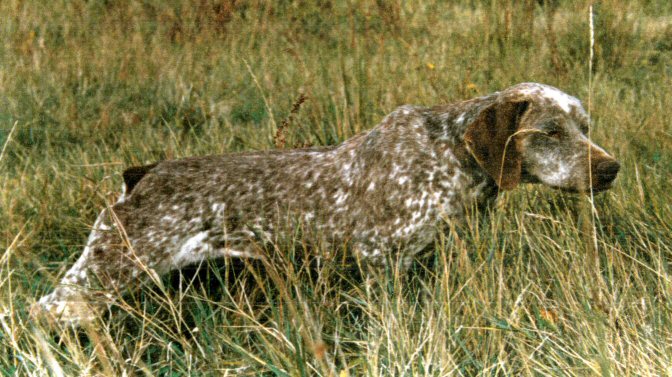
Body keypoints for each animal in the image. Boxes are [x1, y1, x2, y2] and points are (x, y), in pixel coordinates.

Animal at [31, 83, 620, 324]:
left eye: (585, 127)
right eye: (551, 131)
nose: (611, 169)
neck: (450, 156)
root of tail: (142, 176)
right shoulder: (382, 263)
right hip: (101, 276)